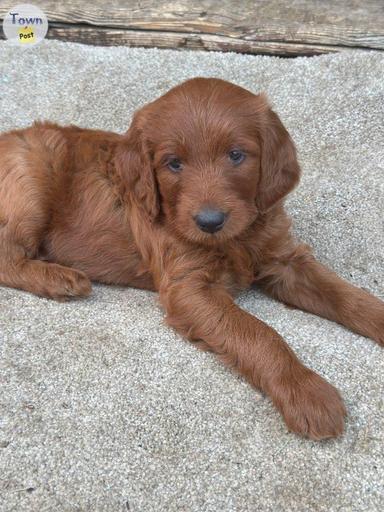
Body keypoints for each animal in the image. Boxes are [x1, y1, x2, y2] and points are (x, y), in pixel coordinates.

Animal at [0, 78, 384, 438]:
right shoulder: (189, 285)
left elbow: (344, 294)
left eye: (235, 155)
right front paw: (305, 392)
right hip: (31, 178)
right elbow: (259, 333)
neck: (236, 239)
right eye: (173, 163)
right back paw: (62, 279)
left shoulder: (285, 261)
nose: (209, 221)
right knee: (8, 255)